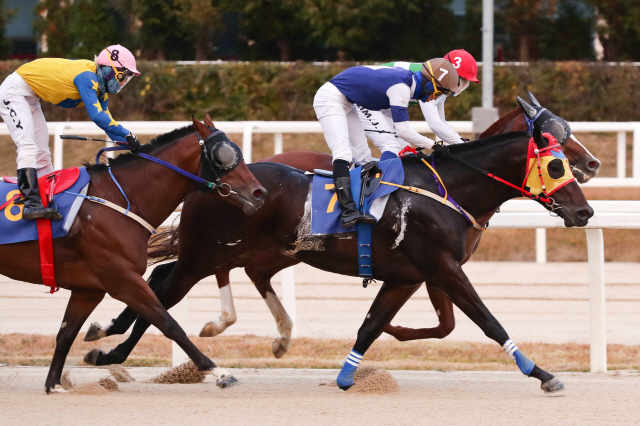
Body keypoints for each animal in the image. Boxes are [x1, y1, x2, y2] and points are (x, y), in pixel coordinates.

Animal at [0, 115, 264, 392]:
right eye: (223, 155)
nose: (259, 193)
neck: (121, 199)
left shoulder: (89, 290)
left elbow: (66, 334)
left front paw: (54, 384)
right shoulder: (123, 280)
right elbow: (169, 324)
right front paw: (219, 372)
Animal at [82, 108, 592, 394]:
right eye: (556, 162)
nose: (585, 210)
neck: (446, 190)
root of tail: (208, 181)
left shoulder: (408, 275)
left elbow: (375, 325)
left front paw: (351, 375)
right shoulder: (443, 267)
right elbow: (487, 321)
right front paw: (541, 373)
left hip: (238, 251)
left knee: (158, 283)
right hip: (208, 253)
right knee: (160, 294)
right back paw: (111, 352)